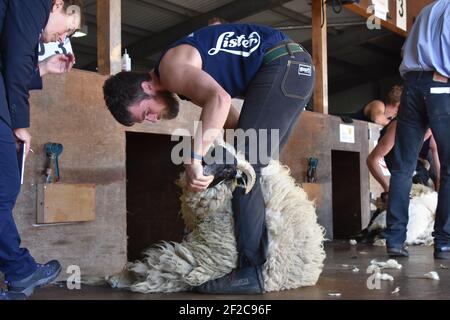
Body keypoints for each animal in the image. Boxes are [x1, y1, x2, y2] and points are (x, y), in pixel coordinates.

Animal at [106, 142, 326, 292]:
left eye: (228, 169)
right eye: (209, 155)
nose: (202, 173)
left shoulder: (207, 260)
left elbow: (163, 269)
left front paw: (127, 277)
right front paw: (118, 277)